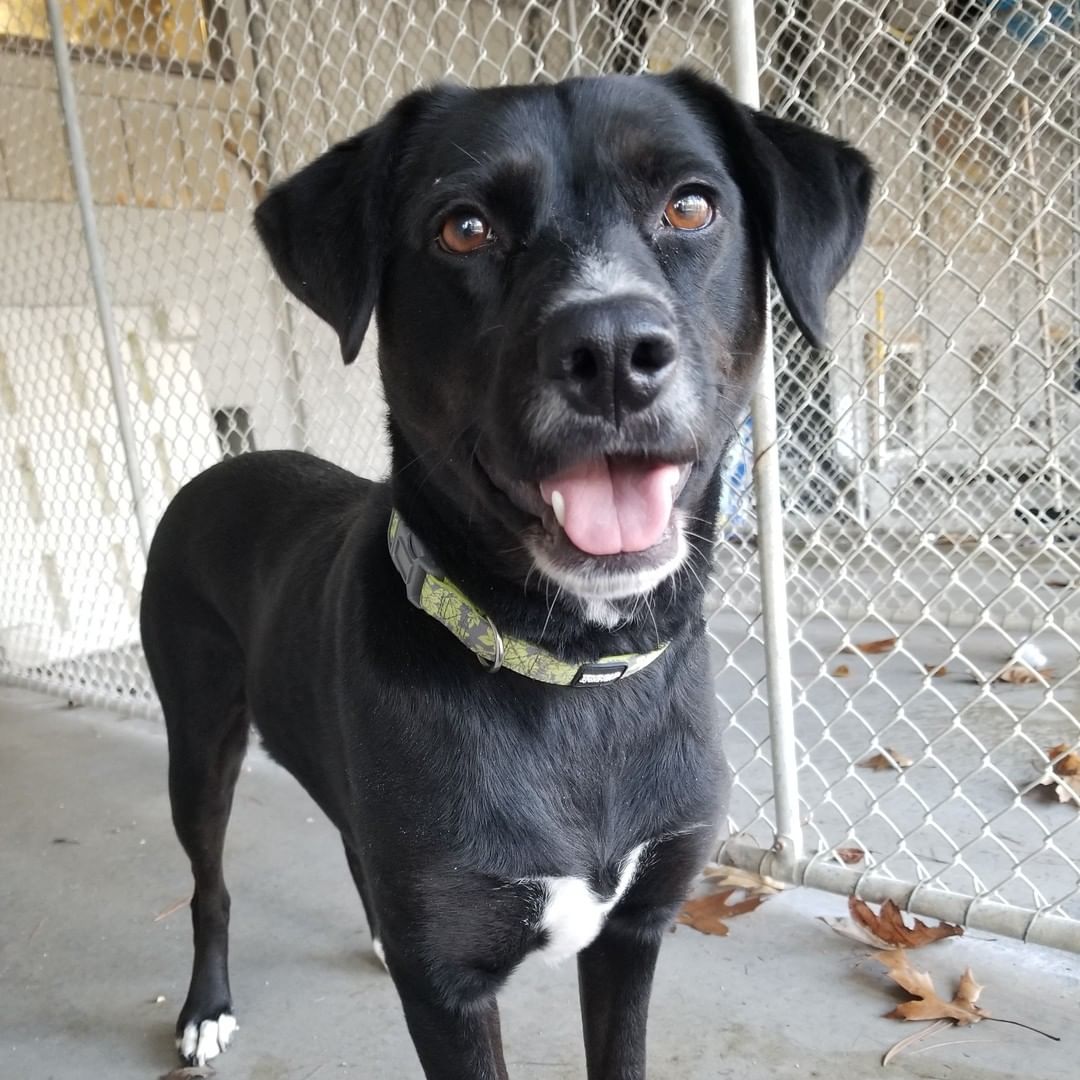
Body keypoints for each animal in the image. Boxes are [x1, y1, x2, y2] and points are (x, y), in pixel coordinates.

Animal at [141, 69, 868, 1080]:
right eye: (464, 227)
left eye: (692, 206)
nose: (612, 353)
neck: (578, 674)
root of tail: (217, 468)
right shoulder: (451, 992)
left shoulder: (633, 931)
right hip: (199, 738)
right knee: (209, 882)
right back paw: (205, 1008)